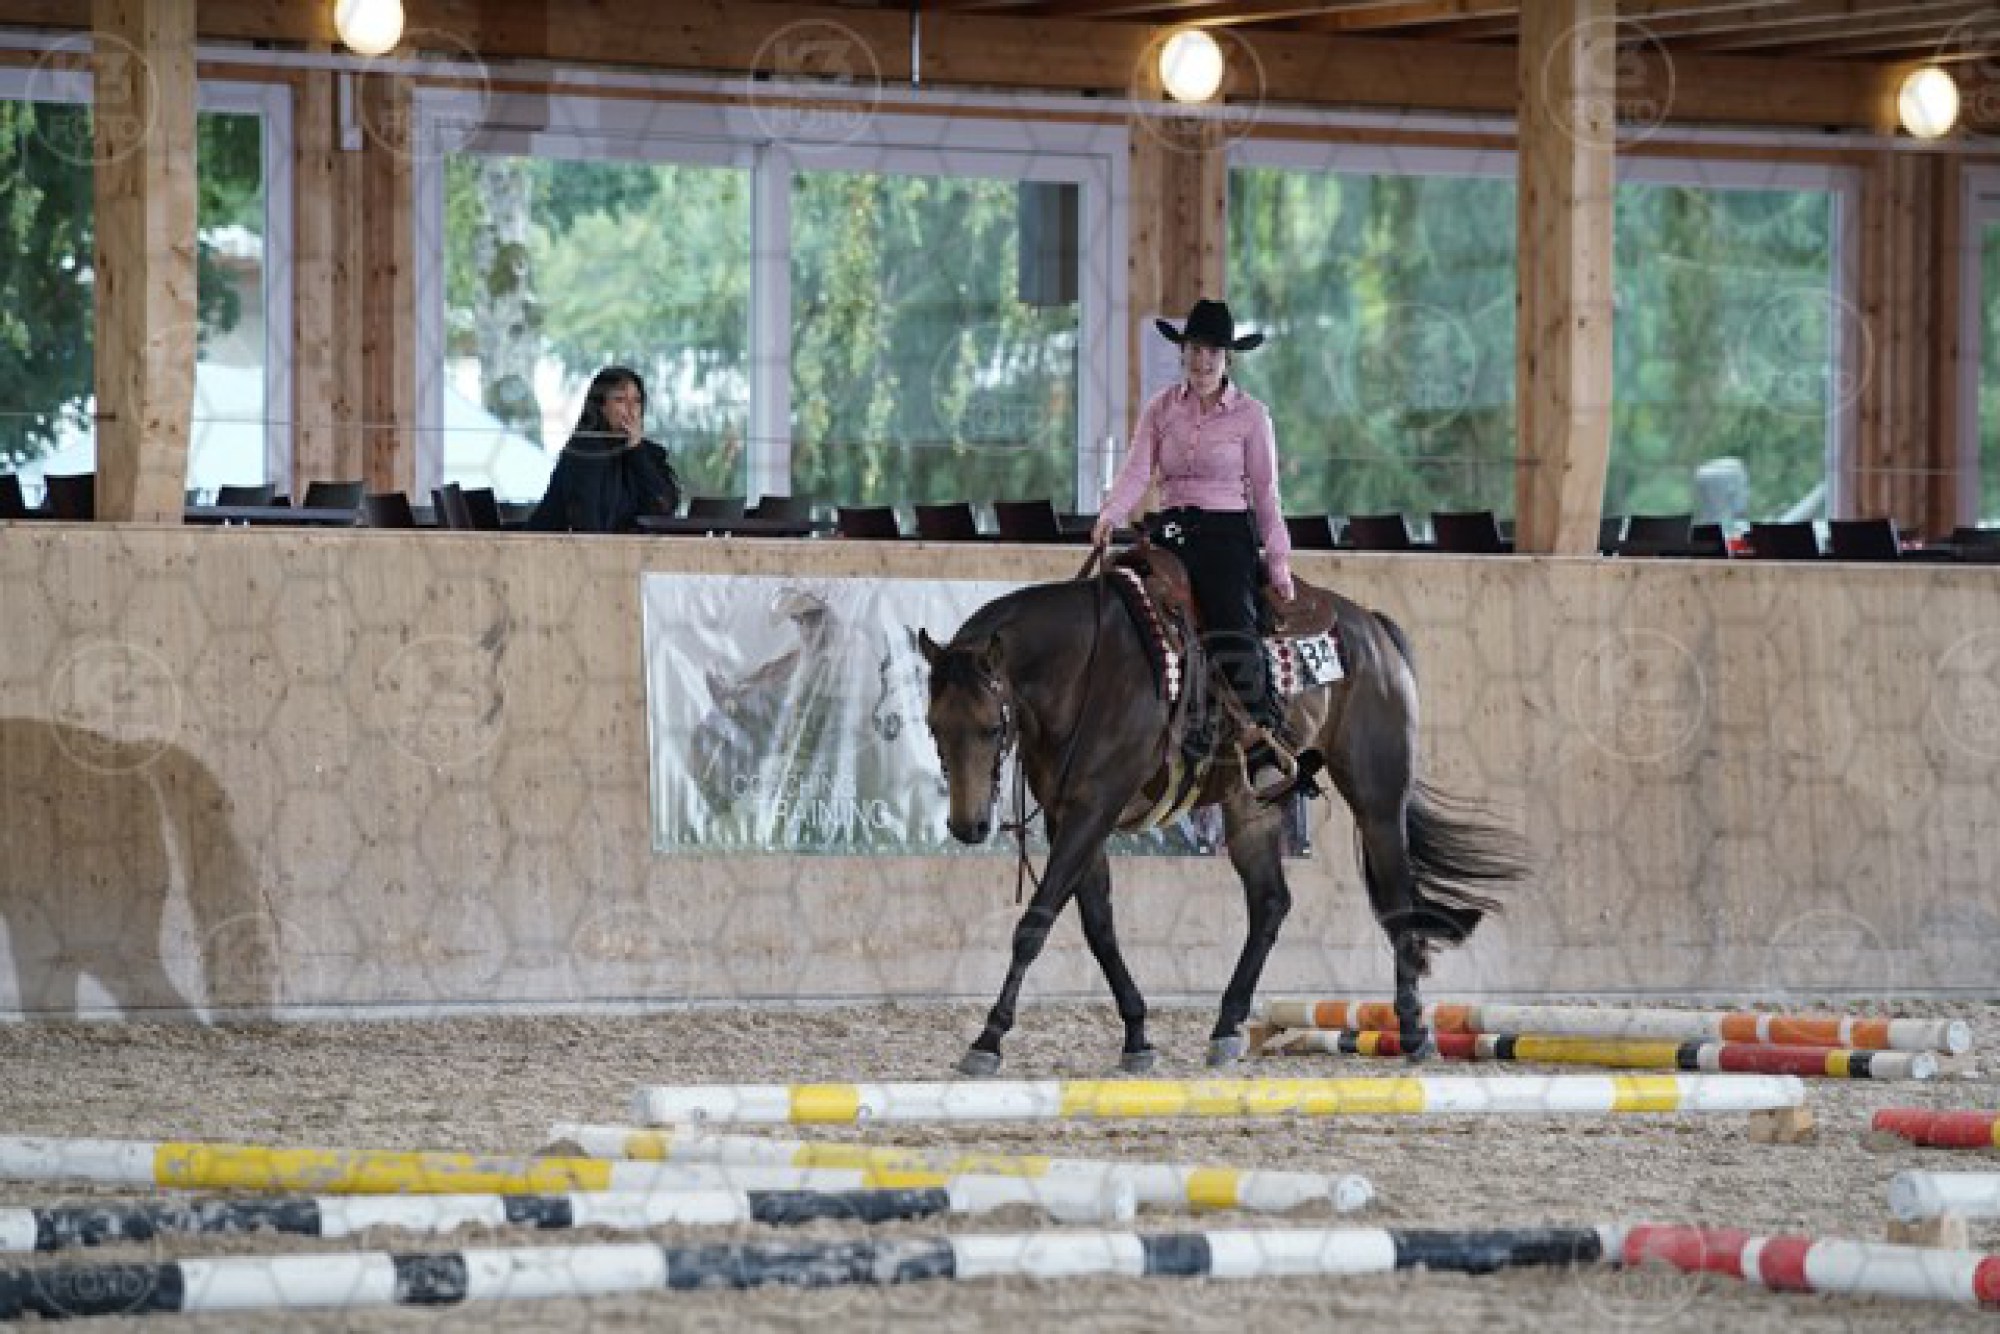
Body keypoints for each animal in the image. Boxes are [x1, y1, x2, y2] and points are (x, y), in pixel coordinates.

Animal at [917, 551, 1526, 1075]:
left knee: (1398, 900)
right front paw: (1137, 1036)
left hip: (1378, 795)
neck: (1086, 670)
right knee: (1271, 903)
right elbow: (1099, 929)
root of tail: (1371, 629)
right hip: (1252, 805)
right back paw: (1228, 1026)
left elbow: (1035, 923)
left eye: (991, 727)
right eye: (933, 725)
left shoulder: (1094, 809)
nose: (968, 826)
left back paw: (1415, 1032)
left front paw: (988, 1039)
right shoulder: (1070, 817)